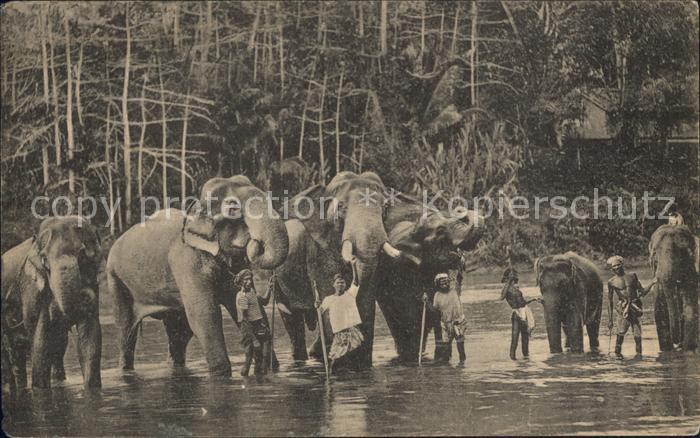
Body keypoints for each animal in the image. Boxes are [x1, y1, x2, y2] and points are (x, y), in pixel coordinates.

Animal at [1, 216, 103, 389]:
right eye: (44, 259)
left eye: (82, 254)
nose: (85, 294)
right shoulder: (31, 286)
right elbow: (40, 340)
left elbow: (90, 338)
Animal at [106, 175, 289, 377]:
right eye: (233, 208)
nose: (255, 242)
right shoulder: (186, 262)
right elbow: (204, 315)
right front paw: (221, 373)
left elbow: (246, 306)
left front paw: (272, 368)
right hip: (115, 280)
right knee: (126, 331)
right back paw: (125, 370)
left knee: (180, 333)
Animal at [273, 171, 414, 368]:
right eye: (341, 207)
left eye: (385, 208)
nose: (353, 260)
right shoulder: (318, 251)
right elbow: (328, 294)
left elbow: (365, 299)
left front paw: (361, 365)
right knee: (290, 317)